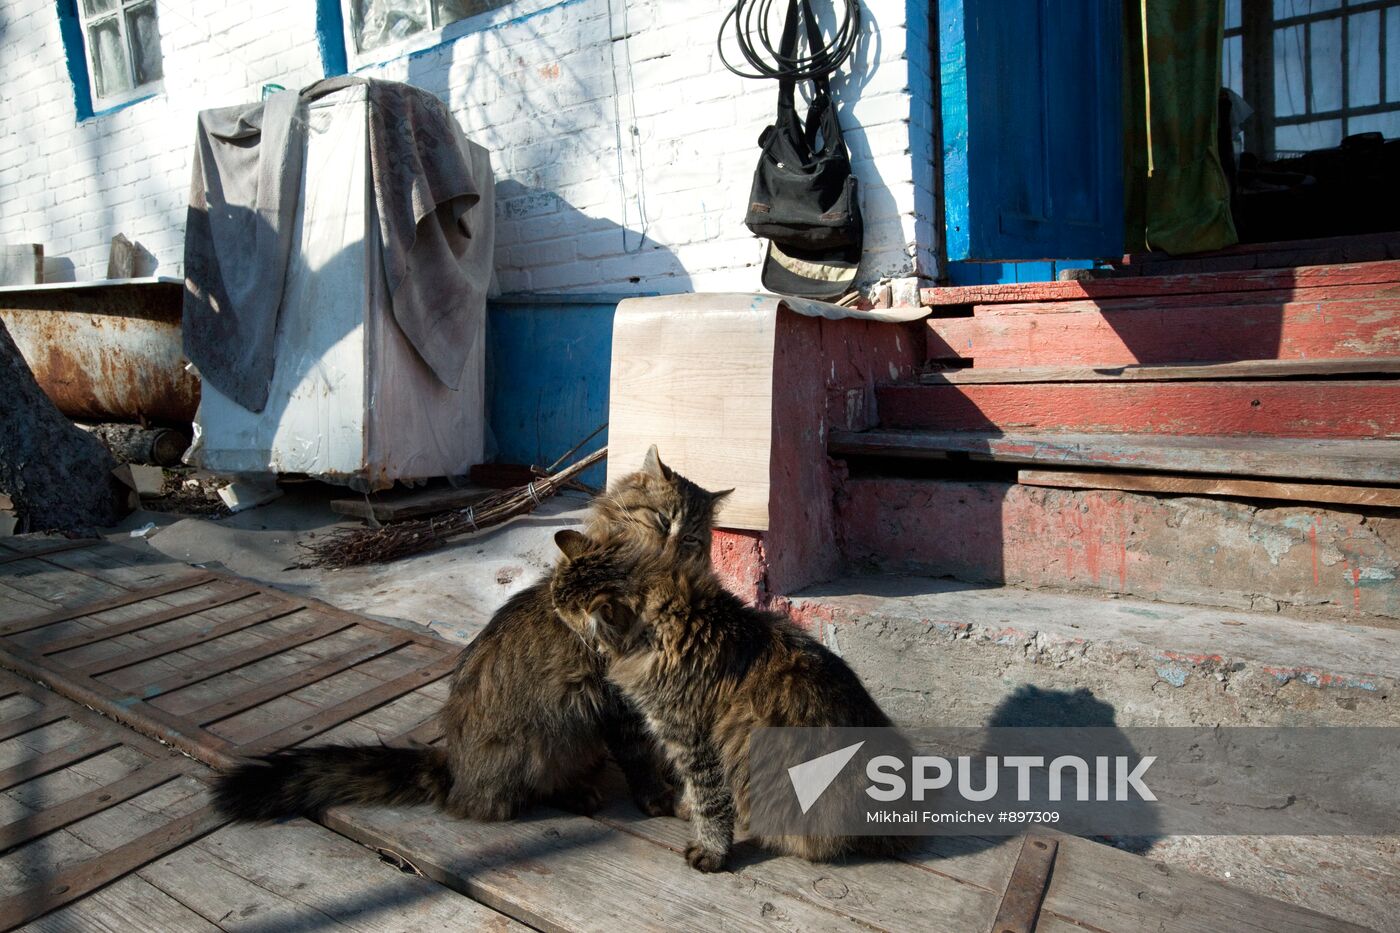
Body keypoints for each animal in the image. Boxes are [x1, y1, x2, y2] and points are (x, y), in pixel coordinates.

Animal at [215, 451, 733, 823]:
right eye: (662, 520)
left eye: (691, 540)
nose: (670, 547)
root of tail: (454, 769)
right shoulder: (616, 699)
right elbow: (641, 756)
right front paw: (658, 796)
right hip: (550, 735)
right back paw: (579, 794)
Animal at [546, 526, 907, 868]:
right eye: (557, 602)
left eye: (566, 611)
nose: (553, 610)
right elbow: (694, 792)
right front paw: (686, 808)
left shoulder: (692, 740)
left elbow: (710, 802)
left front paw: (711, 850)